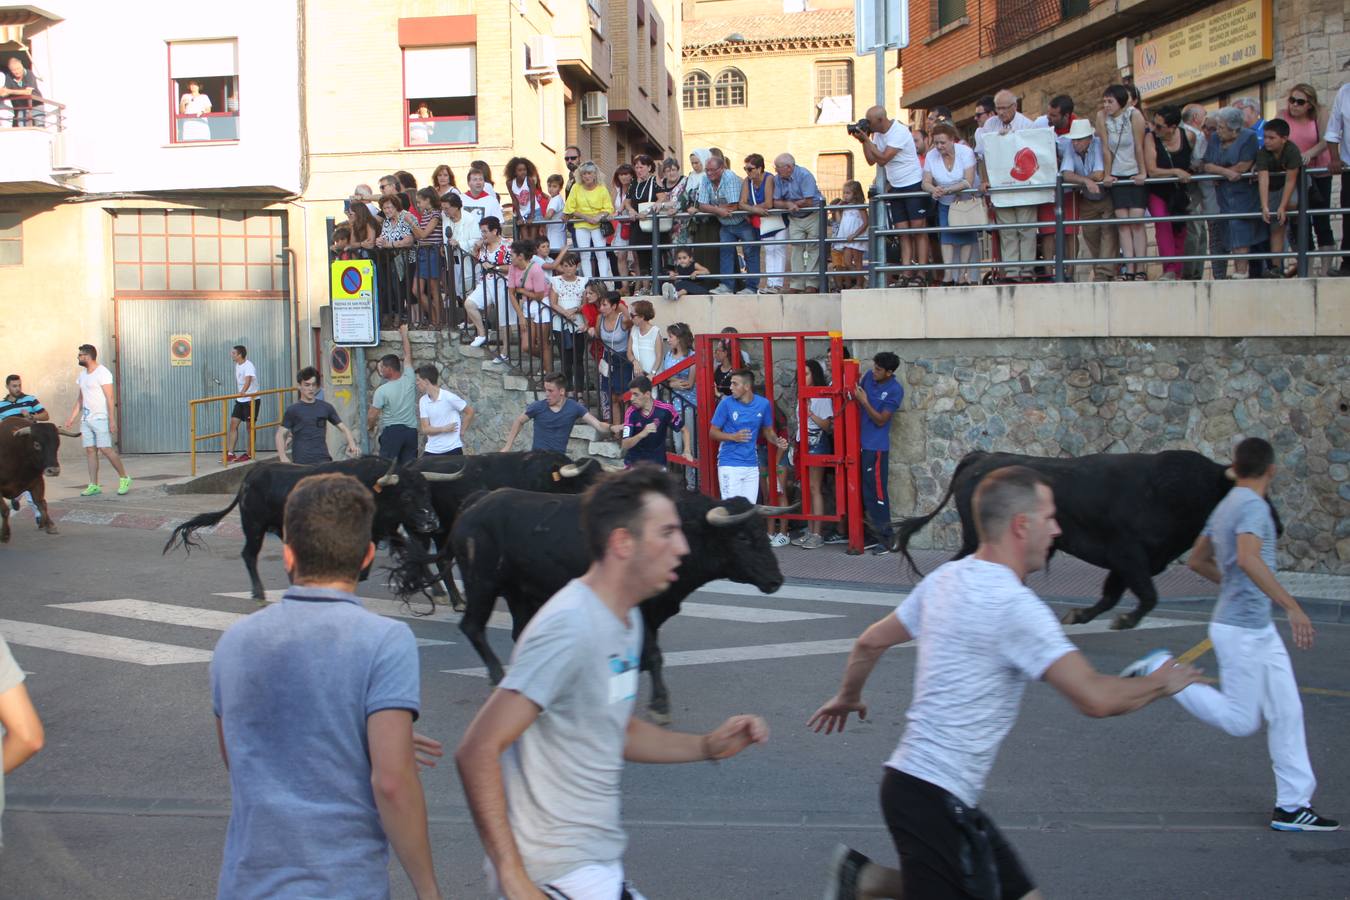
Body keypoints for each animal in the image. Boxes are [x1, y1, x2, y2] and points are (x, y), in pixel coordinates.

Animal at [165, 458, 450, 599]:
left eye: (427, 491)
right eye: (407, 496)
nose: (433, 522)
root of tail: (252, 473)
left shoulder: (387, 530)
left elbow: (414, 553)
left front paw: (437, 590)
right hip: (254, 526)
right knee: (248, 555)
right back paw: (258, 592)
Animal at [391, 485, 788, 723]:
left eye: (763, 533)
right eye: (742, 536)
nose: (776, 580)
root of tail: (475, 504)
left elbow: (646, 656)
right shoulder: (642, 609)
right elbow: (653, 655)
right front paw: (659, 705)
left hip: (518, 590)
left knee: (519, 631)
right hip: (483, 583)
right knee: (472, 626)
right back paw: (497, 676)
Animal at [891, 453, 1279, 631]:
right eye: (1247, 491)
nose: (1276, 524)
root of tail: (983, 456)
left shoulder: (1125, 564)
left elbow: (1111, 596)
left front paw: (1079, 615)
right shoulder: (1129, 556)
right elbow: (1147, 595)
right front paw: (1124, 621)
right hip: (976, 540)